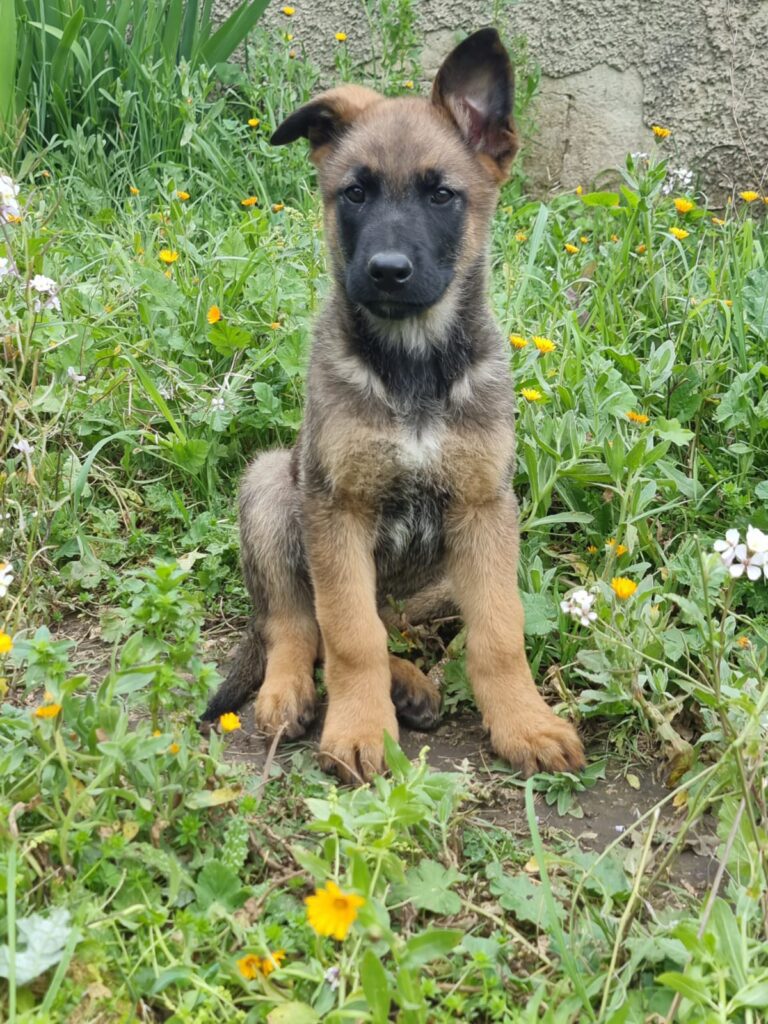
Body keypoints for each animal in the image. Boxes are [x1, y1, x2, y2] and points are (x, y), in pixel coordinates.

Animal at [201, 29, 585, 782]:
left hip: (447, 573)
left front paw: (524, 723)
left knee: (392, 623)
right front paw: (359, 728)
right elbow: (349, 634)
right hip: (271, 485)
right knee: (298, 624)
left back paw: (410, 683)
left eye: (442, 196)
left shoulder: (485, 509)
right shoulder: (336, 508)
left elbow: (499, 632)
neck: (414, 366)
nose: (386, 271)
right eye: (355, 193)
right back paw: (291, 691)